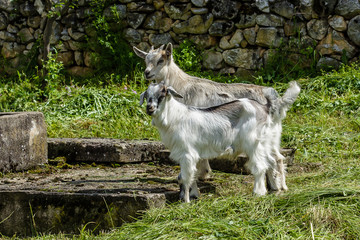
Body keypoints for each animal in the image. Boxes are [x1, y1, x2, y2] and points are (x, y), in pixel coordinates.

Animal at [140, 82, 286, 202]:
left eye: (163, 93)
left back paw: (258, 193)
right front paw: (194, 195)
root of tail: (265, 107)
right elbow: (192, 175)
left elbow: (184, 177)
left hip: (253, 143)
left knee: (260, 166)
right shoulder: (191, 154)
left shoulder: (187, 153)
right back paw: (275, 188)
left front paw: (186, 201)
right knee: (272, 161)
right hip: (266, 143)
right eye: (147, 94)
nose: (150, 108)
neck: (175, 117)